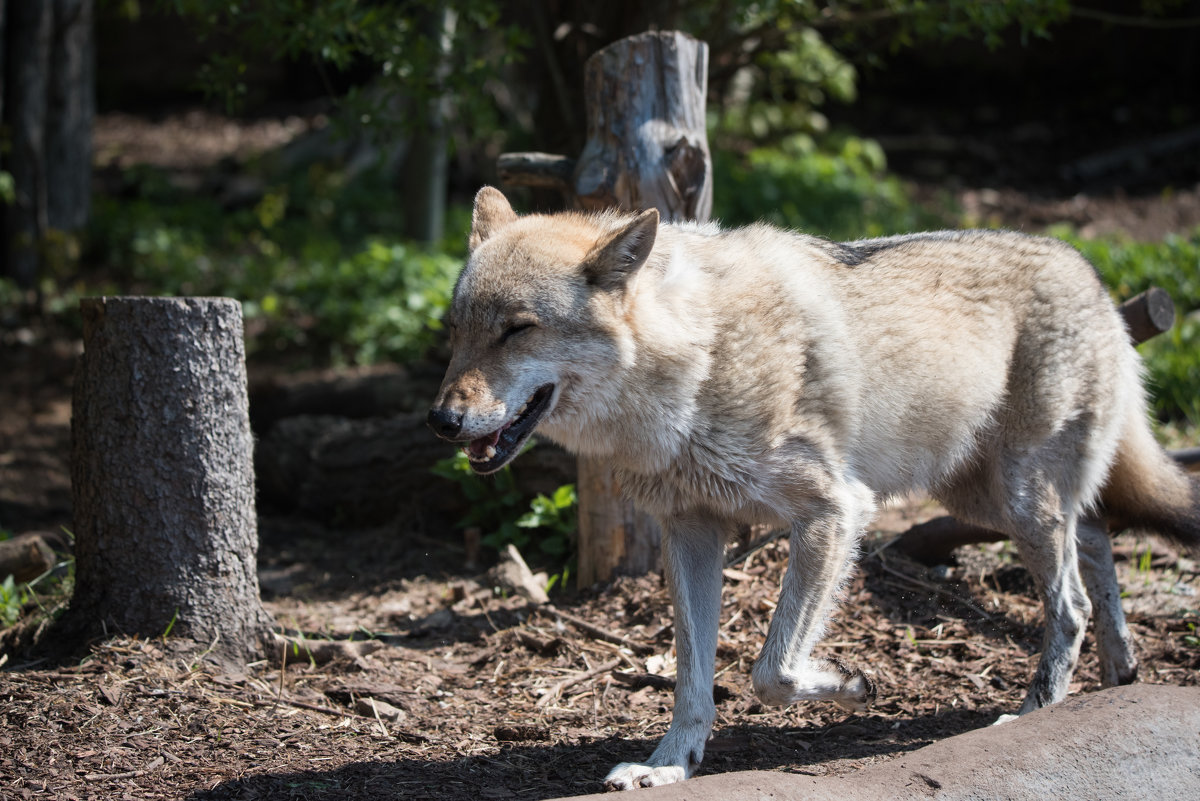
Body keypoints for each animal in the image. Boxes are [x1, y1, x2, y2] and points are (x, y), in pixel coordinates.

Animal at [427, 185, 1195, 786]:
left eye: (517, 330)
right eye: (456, 332)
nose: (441, 420)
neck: (699, 354)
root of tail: (1093, 275)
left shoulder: (835, 512)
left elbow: (773, 671)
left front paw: (853, 684)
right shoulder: (692, 531)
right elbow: (691, 677)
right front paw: (669, 764)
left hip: (1017, 499)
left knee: (1071, 602)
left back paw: (1036, 712)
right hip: (988, 499)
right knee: (1097, 543)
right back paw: (1118, 678)